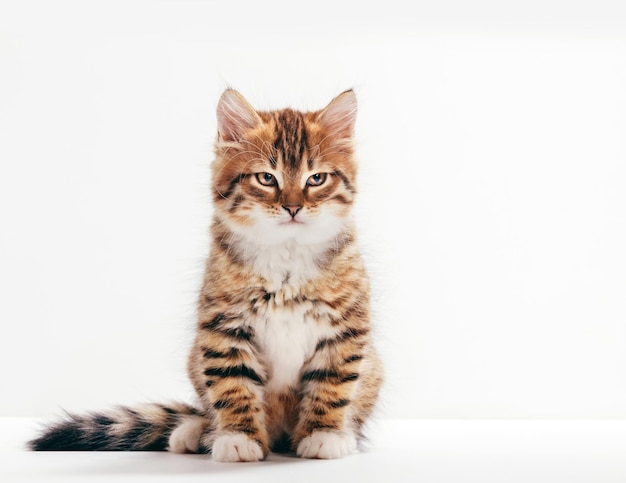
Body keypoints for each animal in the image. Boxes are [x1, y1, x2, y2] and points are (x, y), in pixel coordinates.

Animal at [29, 89, 382, 464]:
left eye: (316, 179)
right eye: (266, 178)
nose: (292, 207)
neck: (286, 256)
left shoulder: (345, 329)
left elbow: (332, 385)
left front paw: (324, 435)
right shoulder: (224, 326)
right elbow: (232, 385)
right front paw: (238, 438)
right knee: (205, 409)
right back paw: (196, 432)